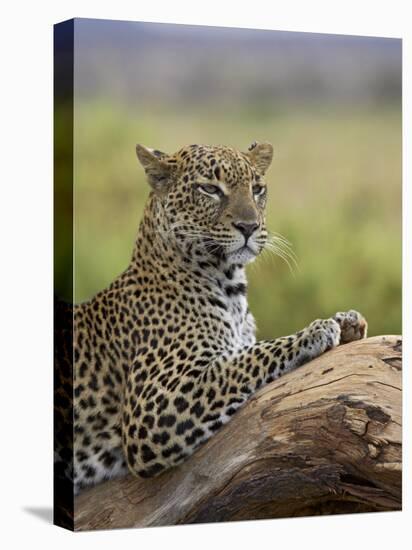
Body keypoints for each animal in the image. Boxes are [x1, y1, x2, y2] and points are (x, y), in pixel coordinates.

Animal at [54, 140, 366, 498]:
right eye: (210, 189)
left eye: (257, 189)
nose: (249, 227)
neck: (231, 285)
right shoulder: (153, 405)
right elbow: (245, 359)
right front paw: (316, 331)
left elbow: (244, 352)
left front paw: (348, 320)